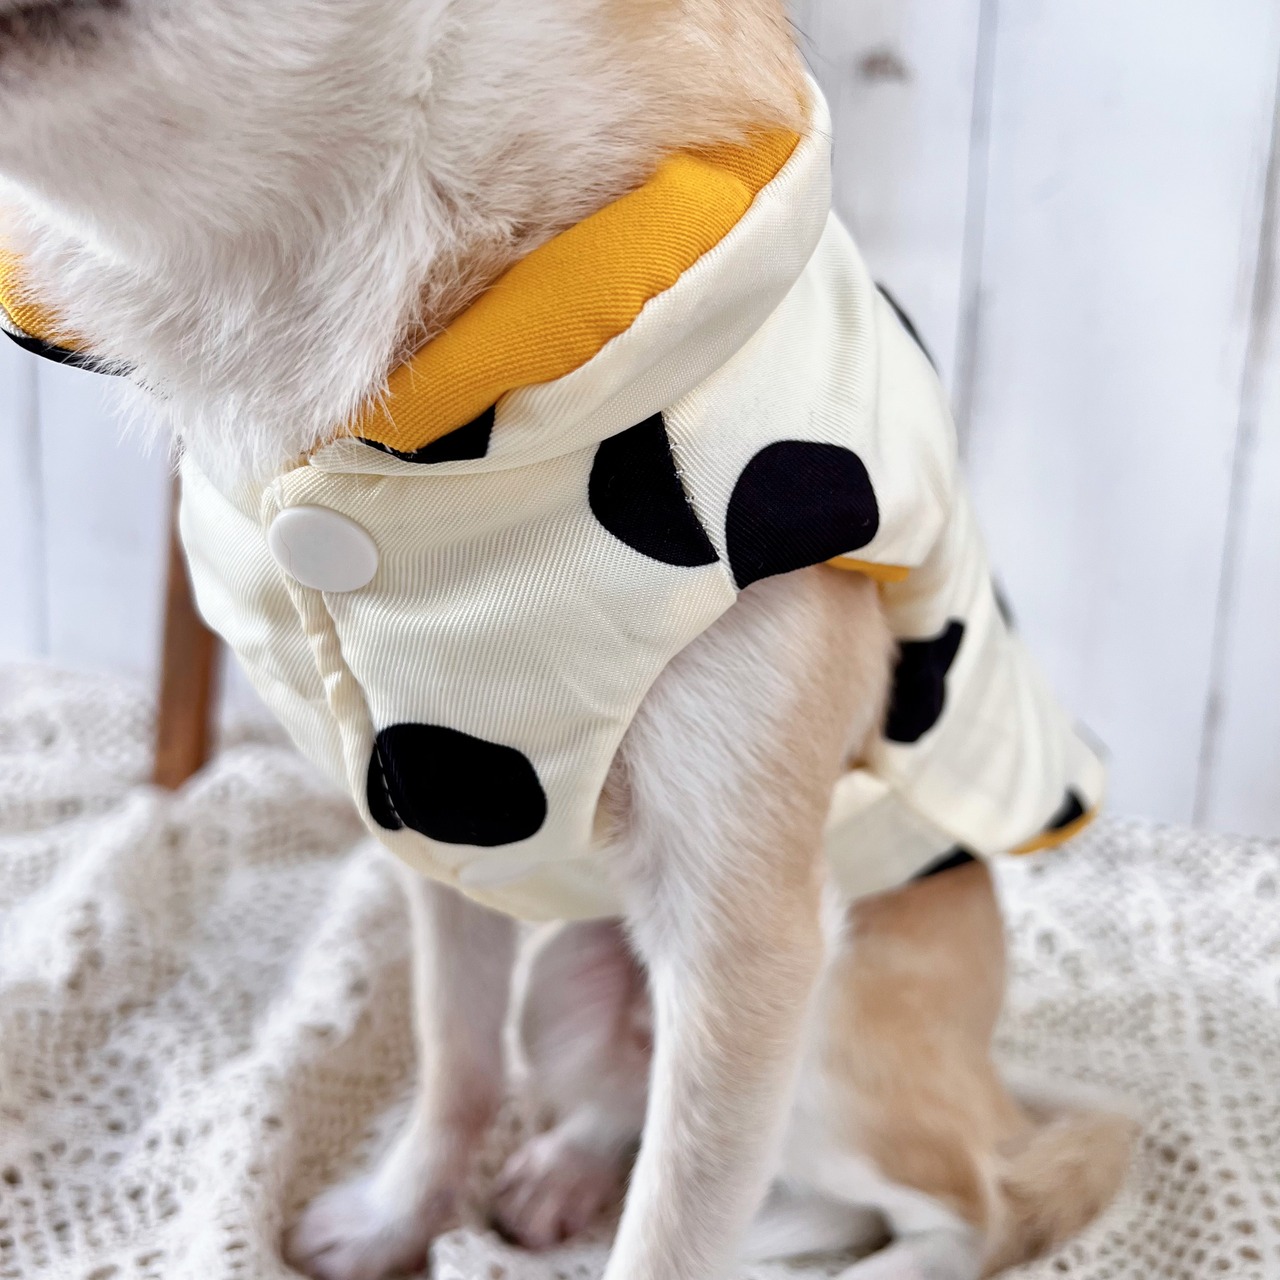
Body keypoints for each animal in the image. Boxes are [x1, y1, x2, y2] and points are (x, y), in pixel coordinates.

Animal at [0, 2, 1135, 1278]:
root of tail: (992, 1080)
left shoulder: (747, 949)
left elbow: (672, 1234)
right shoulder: (441, 836)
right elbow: (455, 1058)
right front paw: (398, 1216)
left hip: (834, 1036)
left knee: (965, 1206)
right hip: (572, 978)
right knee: (634, 1107)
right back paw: (569, 1171)